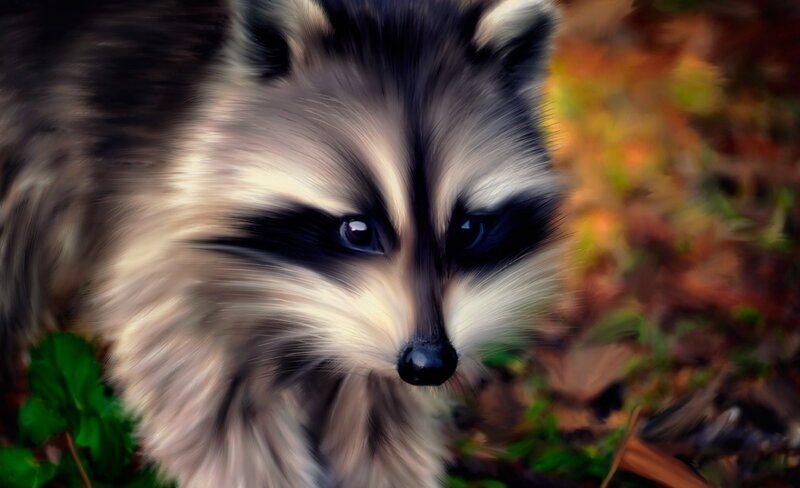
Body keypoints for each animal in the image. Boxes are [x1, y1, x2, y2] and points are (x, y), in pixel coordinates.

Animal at [1, 0, 563, 486]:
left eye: (468, 229)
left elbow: (379, 422)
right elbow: (217, 420)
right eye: (358, 230)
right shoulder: (168, 255)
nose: (429, 365)